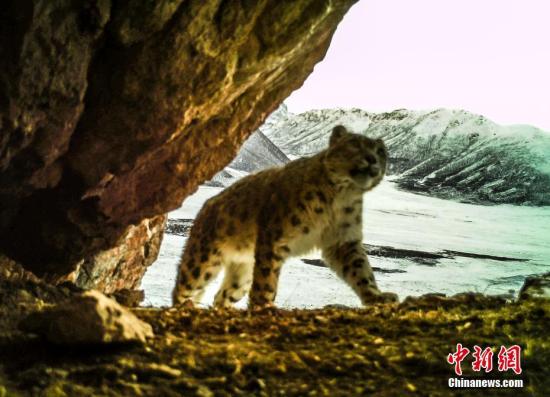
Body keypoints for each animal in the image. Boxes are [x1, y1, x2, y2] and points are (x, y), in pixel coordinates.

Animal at [171, 125, 396, 308]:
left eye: (380, 151)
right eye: (354, 144)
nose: (372, 159)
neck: (342, 196)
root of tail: (205, 206)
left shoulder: (343, 239)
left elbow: (361, 270)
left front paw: (377, 297)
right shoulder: (275, 236)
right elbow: (266, 279)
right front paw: (264, 305)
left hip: (242, 273)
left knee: (223, 295)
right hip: (203, 260)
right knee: (185, 286)